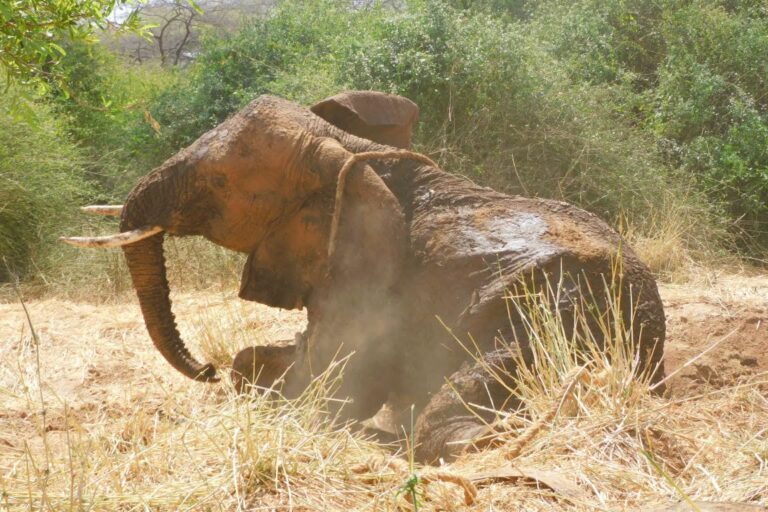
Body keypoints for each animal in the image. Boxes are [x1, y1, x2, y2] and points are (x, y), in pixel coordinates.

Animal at [64, 91, 666, 463]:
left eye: (215, 183)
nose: (202, 369)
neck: (353, 150)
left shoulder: (370, 277)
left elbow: (329, 388)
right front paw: (240, 372)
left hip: (545, 317)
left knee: (448, 419)